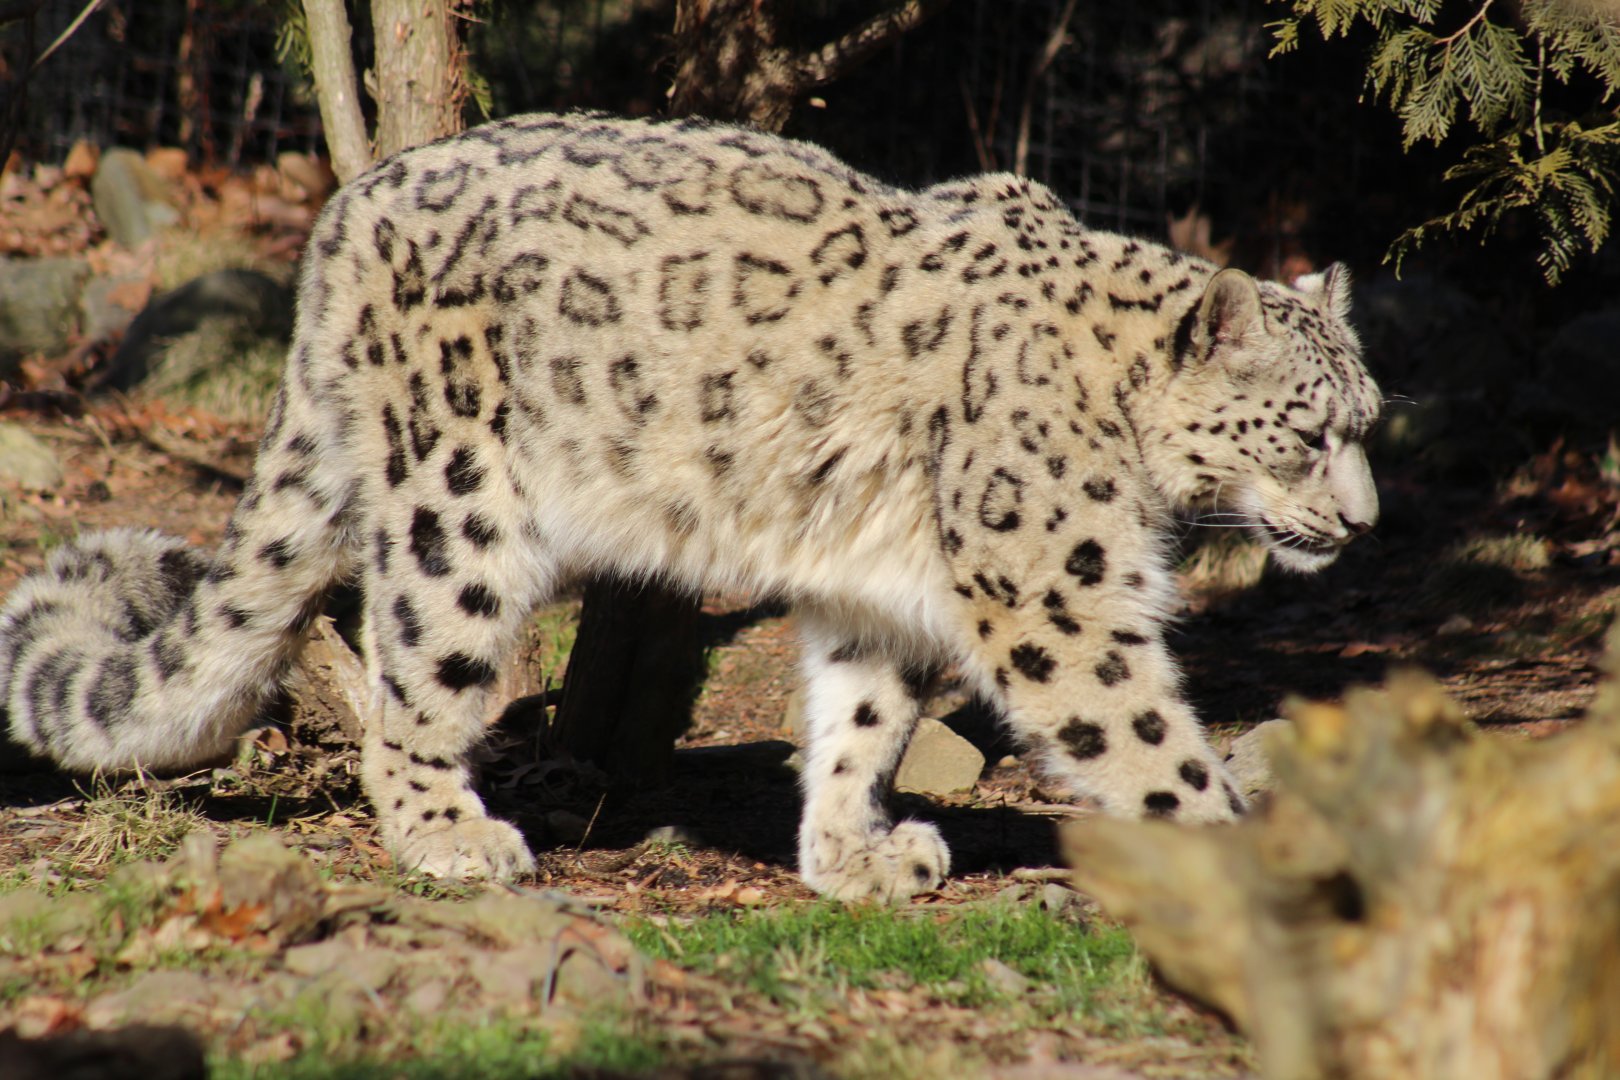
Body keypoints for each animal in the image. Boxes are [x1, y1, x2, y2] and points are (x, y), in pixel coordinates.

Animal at [0, 112, 1381, 902]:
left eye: (1369, 421)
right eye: (1313, 430)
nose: (1365, 520)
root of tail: (347, 213)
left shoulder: (880, 587)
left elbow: (862, 719)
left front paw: (858, 855)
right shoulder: (1059, 593)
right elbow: (1145, 739)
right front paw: (1264, 873)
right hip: (461, 503)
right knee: (415, 679)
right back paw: (454, 836)